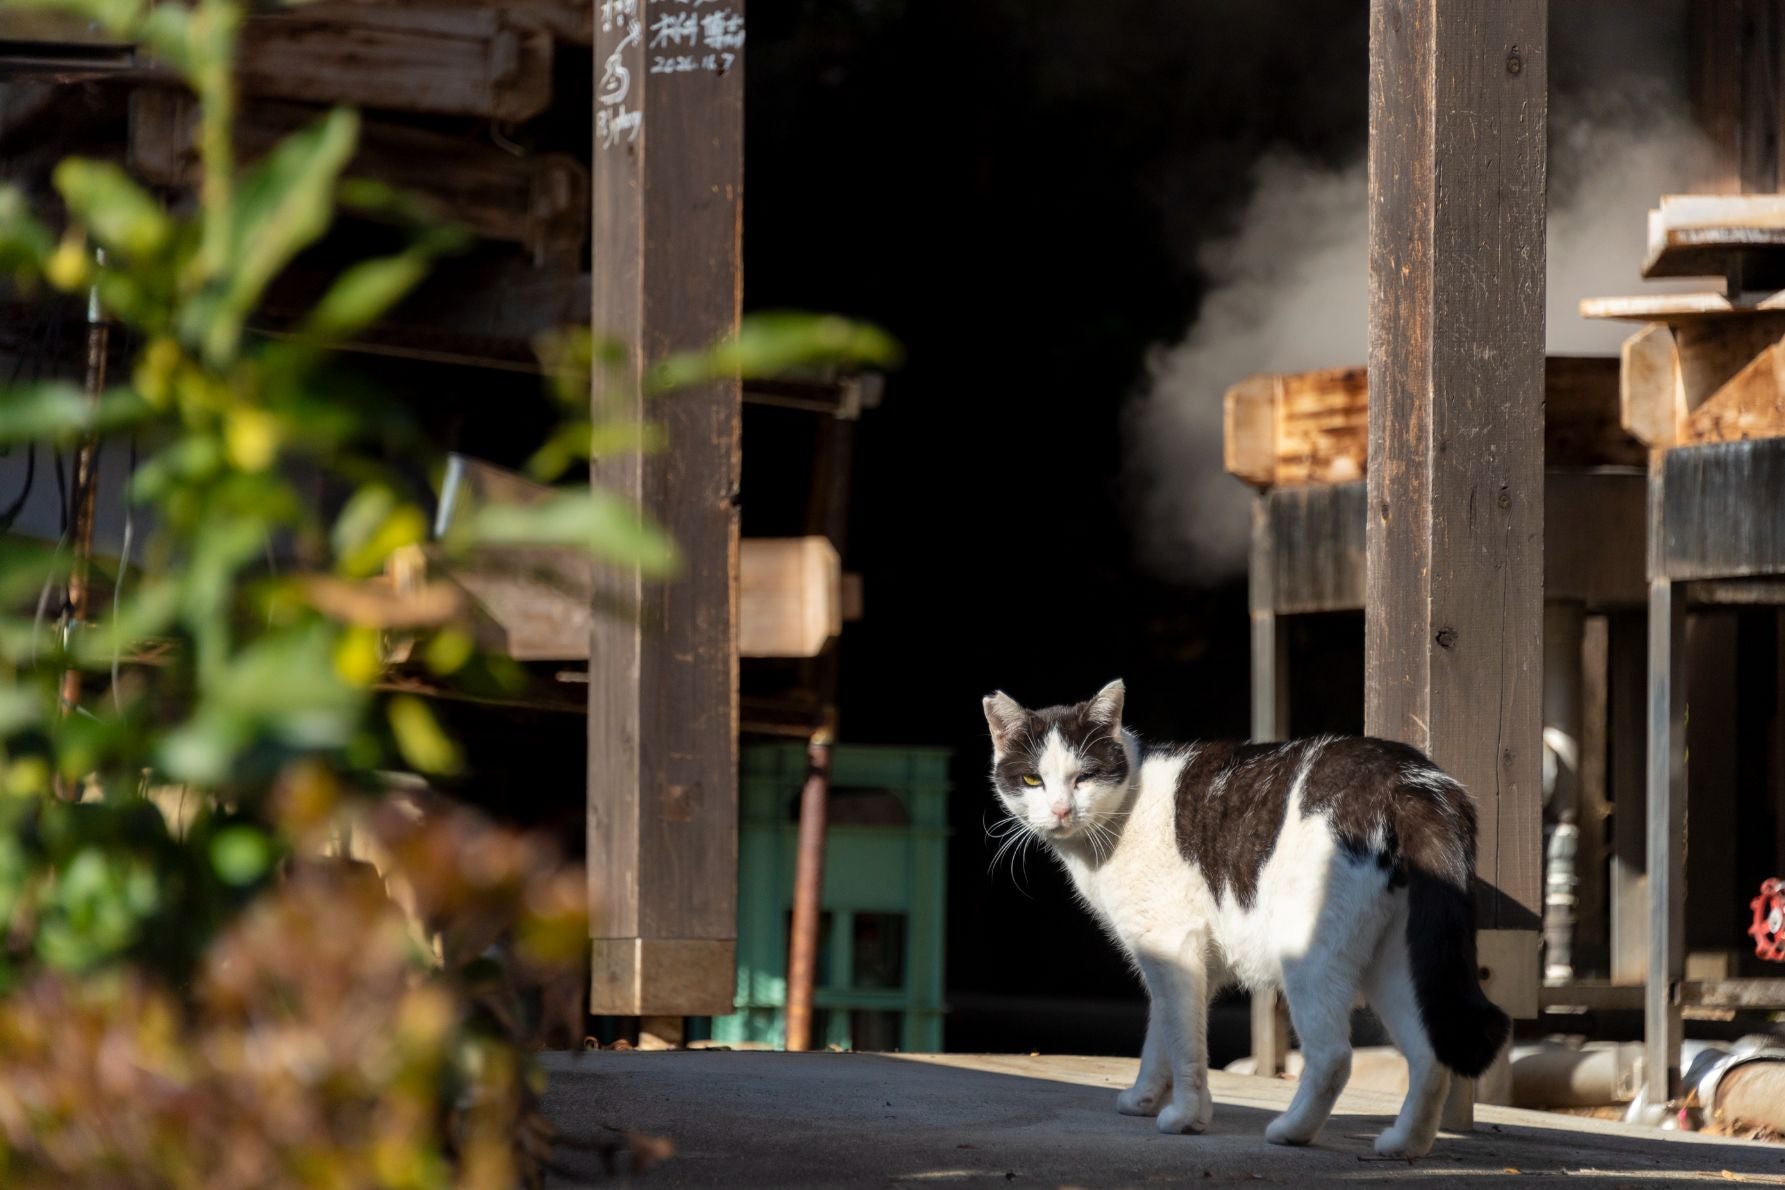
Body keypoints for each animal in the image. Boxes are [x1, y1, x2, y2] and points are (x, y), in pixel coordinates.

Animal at [985, 685, 1513, 1156]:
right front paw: (1143, 1098)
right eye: (1032, 780)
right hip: (1396, 965)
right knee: (1430, 1056)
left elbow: (1185, 1045)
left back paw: (1291, 1131)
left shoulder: (1173, 946)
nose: (1060, 810)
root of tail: (1413, 781)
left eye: (1084, 777)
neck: (1122, 813)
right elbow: (1162, 1032)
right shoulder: (1178, 962)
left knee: (1333, 1058)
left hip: (1310, 957)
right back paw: (1404, 1145)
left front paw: (1187, 1118)